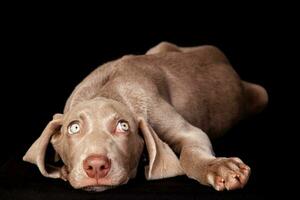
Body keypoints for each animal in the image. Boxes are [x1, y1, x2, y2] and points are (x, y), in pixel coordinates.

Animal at [22, 41, 268, 191]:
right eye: (73, 128)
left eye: (123, 126)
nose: (96, 166)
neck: (105, 90)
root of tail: (216, 51)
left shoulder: (181, 126)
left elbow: (190, 152)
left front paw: (221, 167)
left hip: (260, 95)